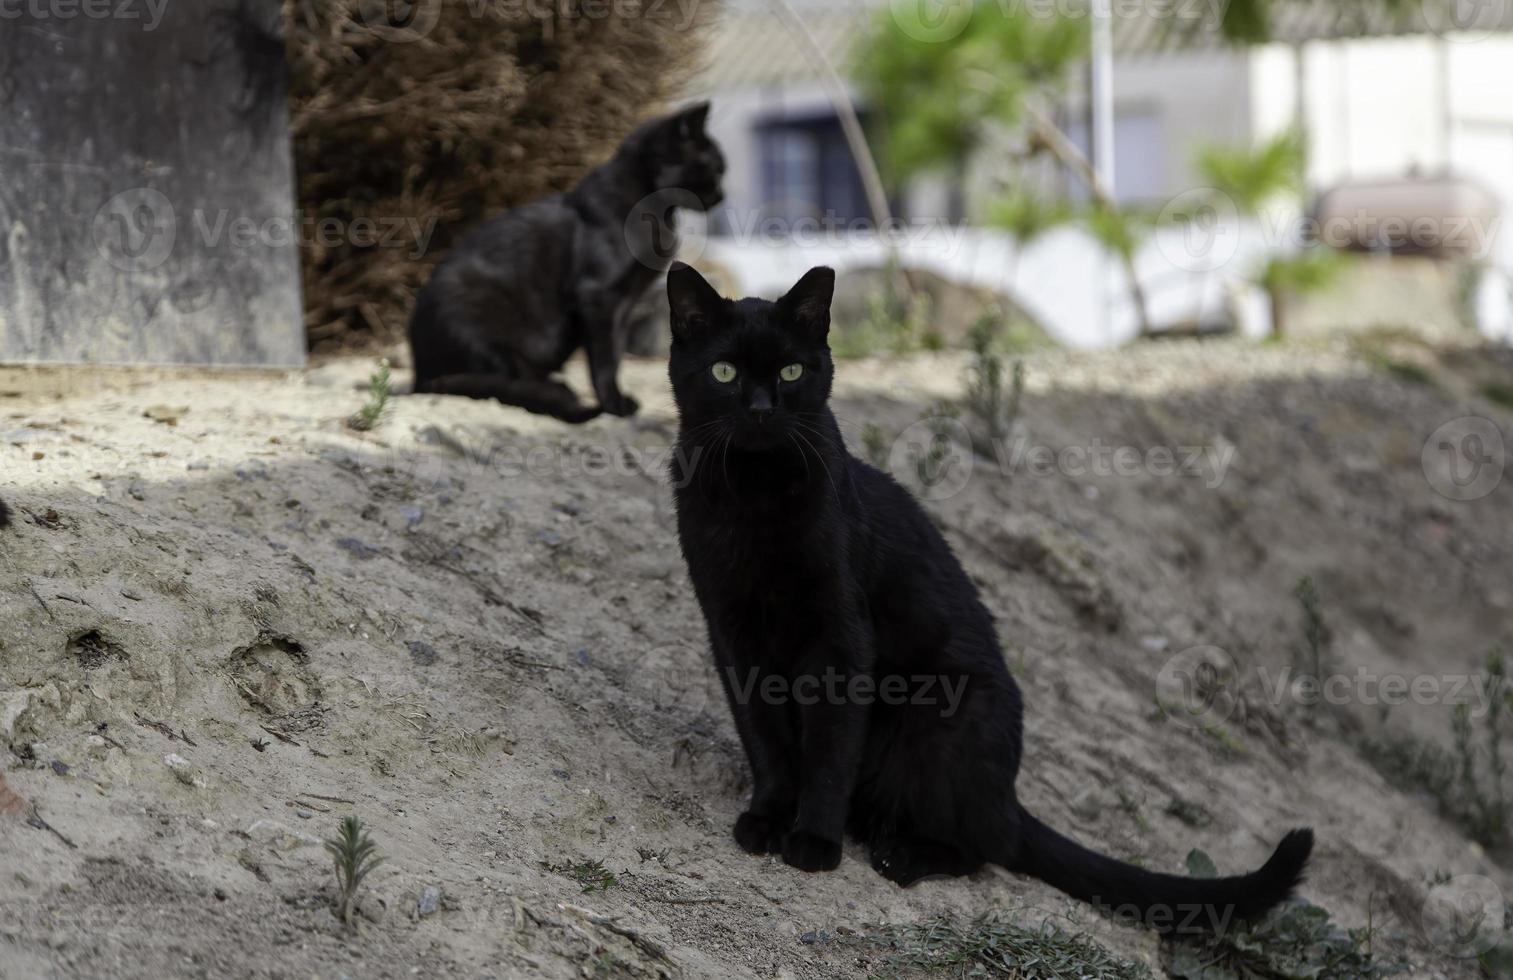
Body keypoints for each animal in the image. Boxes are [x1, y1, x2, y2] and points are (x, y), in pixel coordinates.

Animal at [411, 101, 723, 423]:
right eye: (716, 168)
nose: (722, 195)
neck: (658, 211)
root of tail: (420, 373)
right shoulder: (598, 296)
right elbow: (604, 359)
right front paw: (614, 405)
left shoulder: (624, 303)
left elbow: (616, 352)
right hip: (483, 326)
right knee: (500, 377)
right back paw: (555, 391)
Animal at [662, 264, 1313, 931]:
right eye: (724, 373)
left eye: (792, 372)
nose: (761, 410)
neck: (753, 494)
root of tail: (1009, 798)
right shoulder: (733, 634)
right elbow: (765, 739)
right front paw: (766, 818)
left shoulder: (840, 641)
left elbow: (829, 750)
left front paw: (814, 841)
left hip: (945, 714)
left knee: (981, 847)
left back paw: (900, 855)